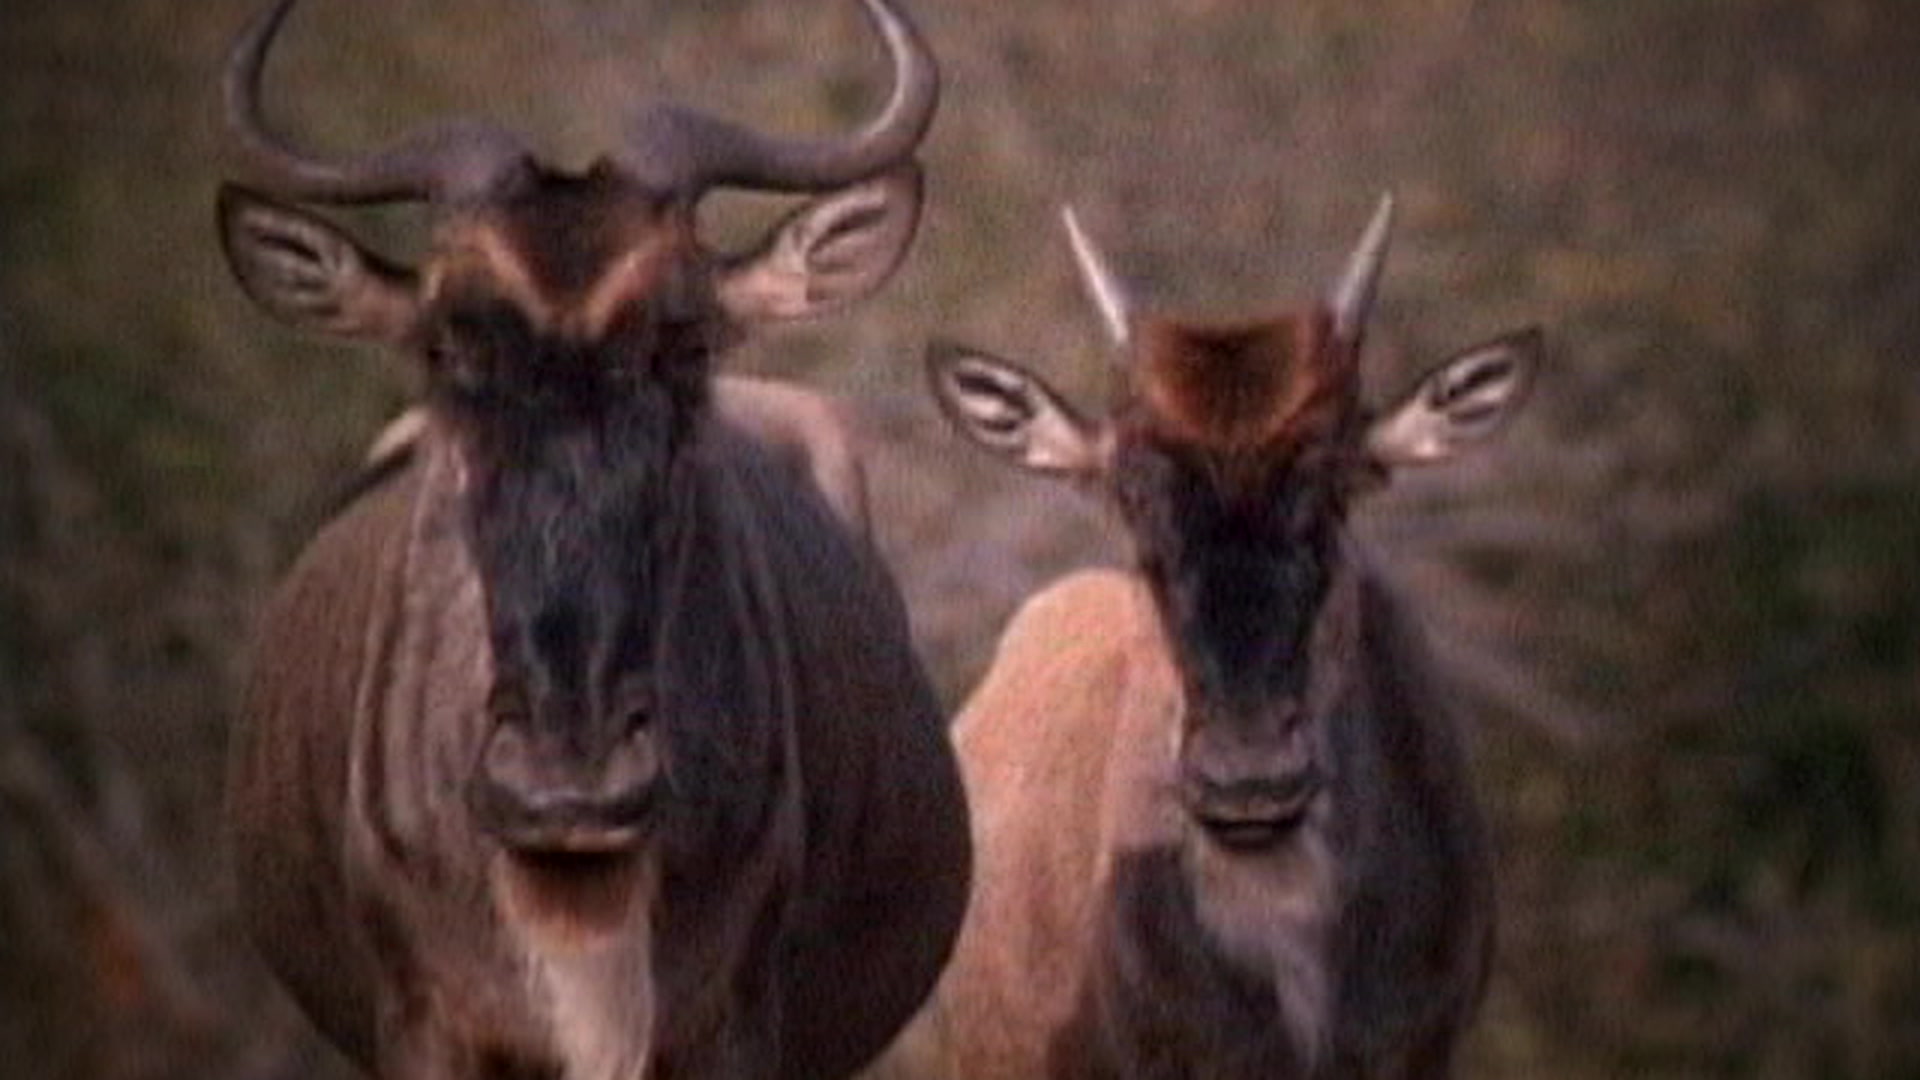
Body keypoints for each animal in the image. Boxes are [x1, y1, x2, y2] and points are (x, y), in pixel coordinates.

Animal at [217, 1, 970, 1077]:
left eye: (685, 341)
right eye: (446, 347)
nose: (568, 782)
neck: (578, 908)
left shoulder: (734, 1026)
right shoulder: (426, 1027)